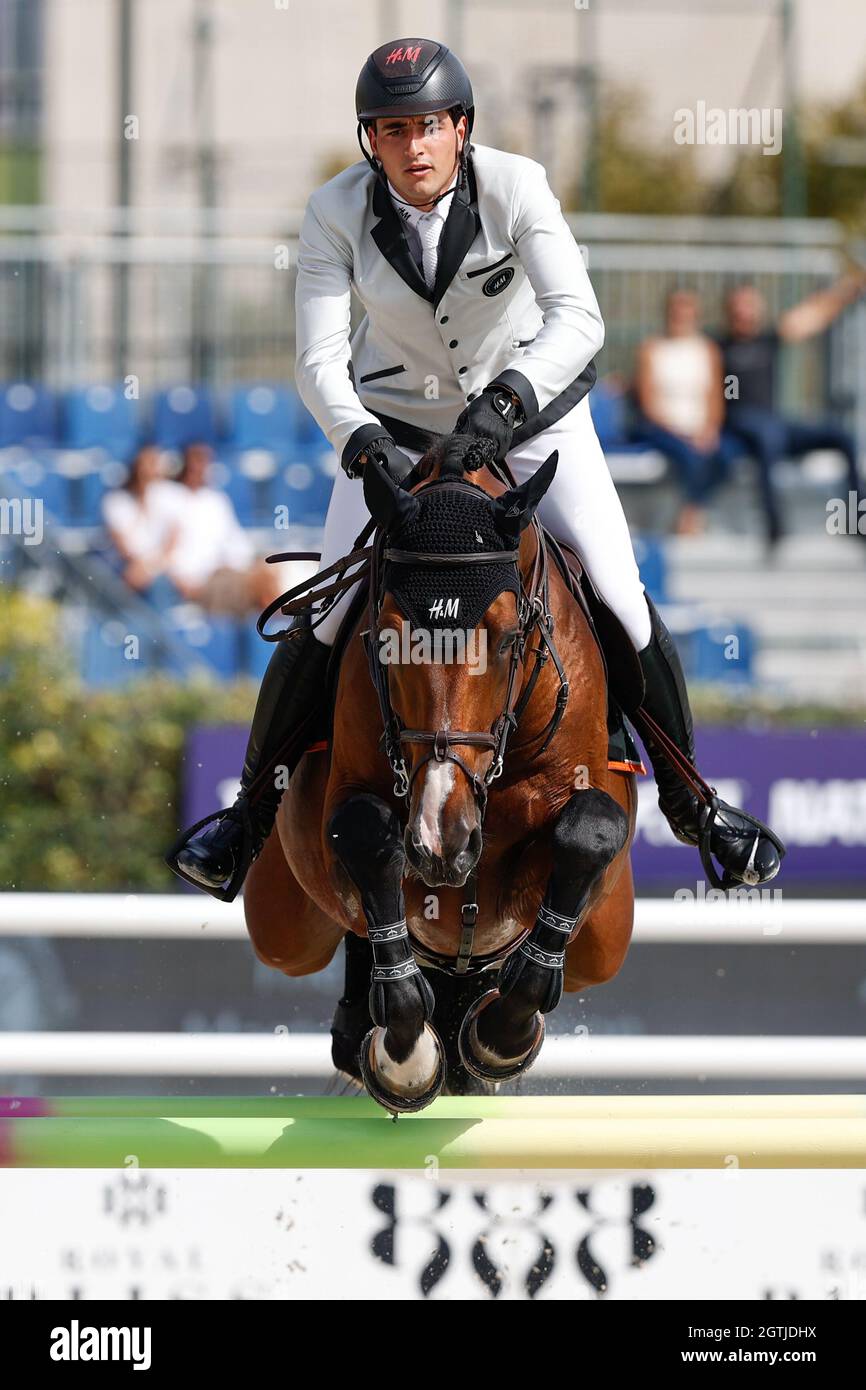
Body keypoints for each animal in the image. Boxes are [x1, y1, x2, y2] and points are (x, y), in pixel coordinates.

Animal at [244, 439, 636, 1112]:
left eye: (507, 637)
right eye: (388, 638)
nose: (441, 841)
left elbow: (591, 829)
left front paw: (500, 1036)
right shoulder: (352, 813)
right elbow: (366, 835)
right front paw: (406, 1056)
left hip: (605, 939)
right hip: (281, 924)